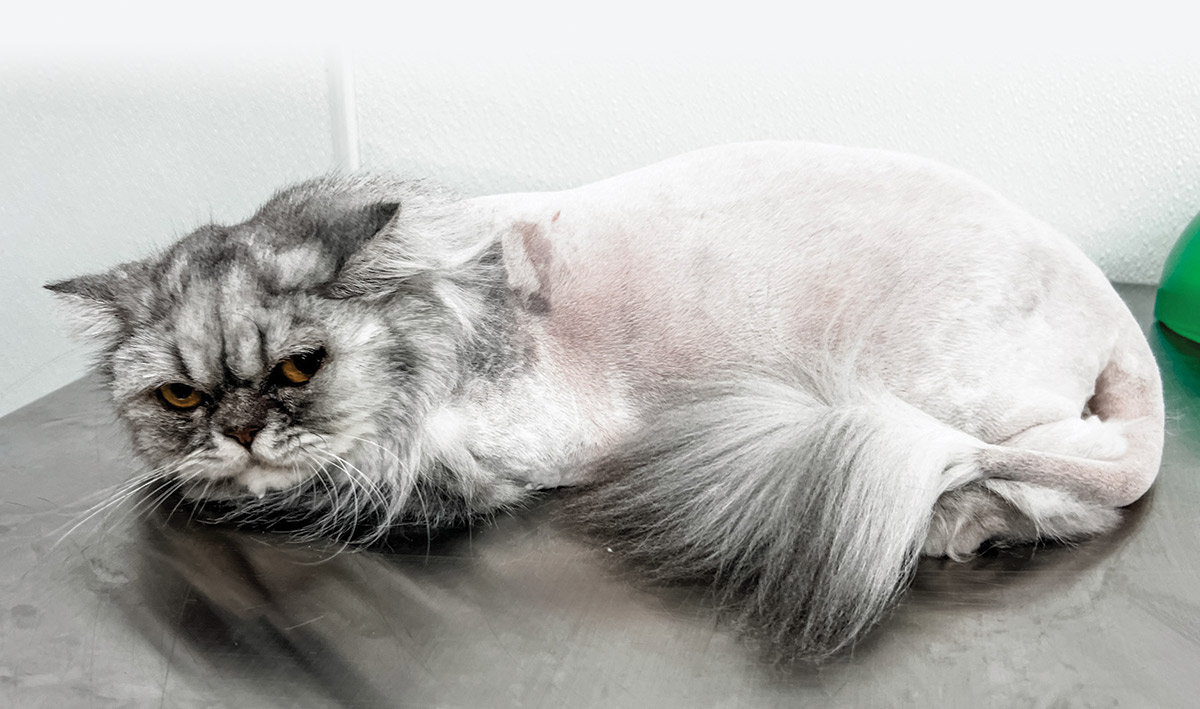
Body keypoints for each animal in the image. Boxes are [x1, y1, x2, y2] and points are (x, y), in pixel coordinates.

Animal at [46, 141, 1161, 662]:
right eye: (180, 394)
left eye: (296, 369)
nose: (237, 429)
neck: (441, 308)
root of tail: (1118, 317)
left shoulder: (474, 463)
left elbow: (314, 492)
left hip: (955, 404)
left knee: (1054, 490)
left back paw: (952, 523)